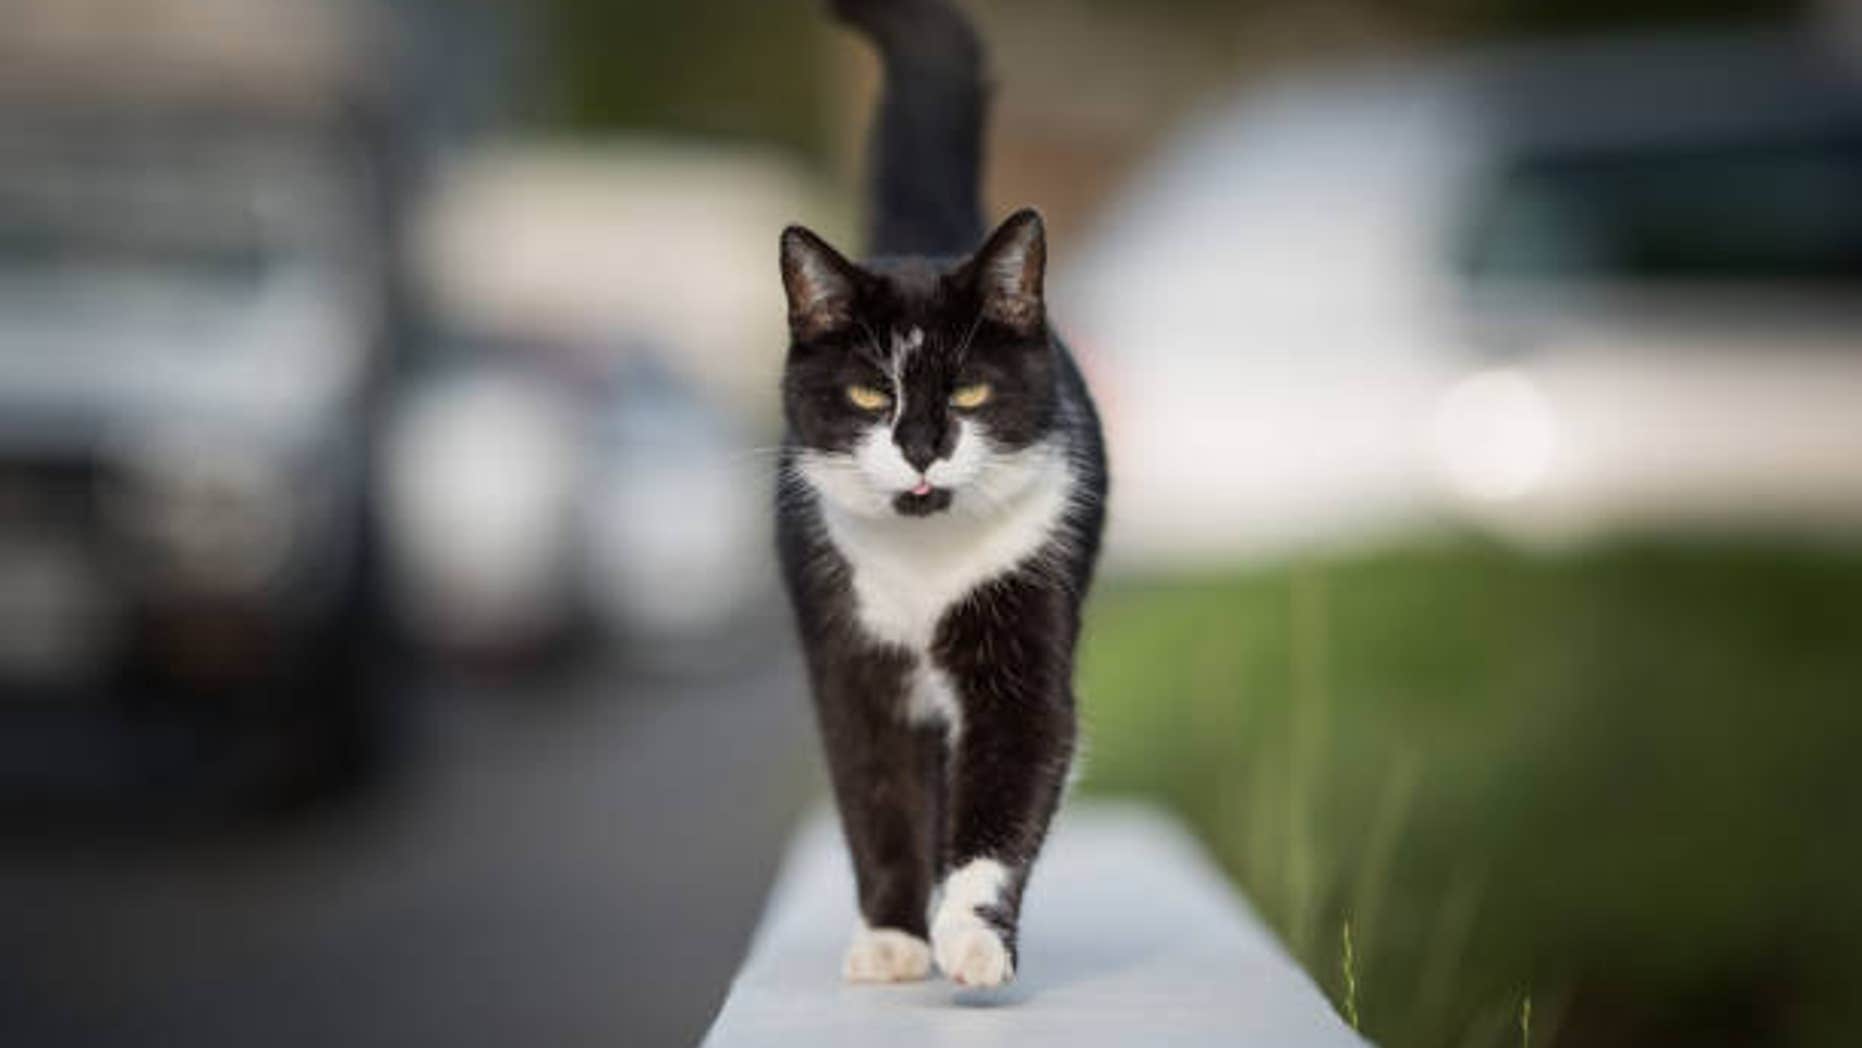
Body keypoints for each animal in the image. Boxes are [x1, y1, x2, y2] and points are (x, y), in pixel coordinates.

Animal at [770, 0, 1102, 990]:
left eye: (969, 394)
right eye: (869, 396)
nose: (921, 447)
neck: (922, 562)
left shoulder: (1024, 644)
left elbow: (1001, 799)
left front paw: (975, 940)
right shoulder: (848, 663)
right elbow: (875, 797)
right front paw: (892, 937)